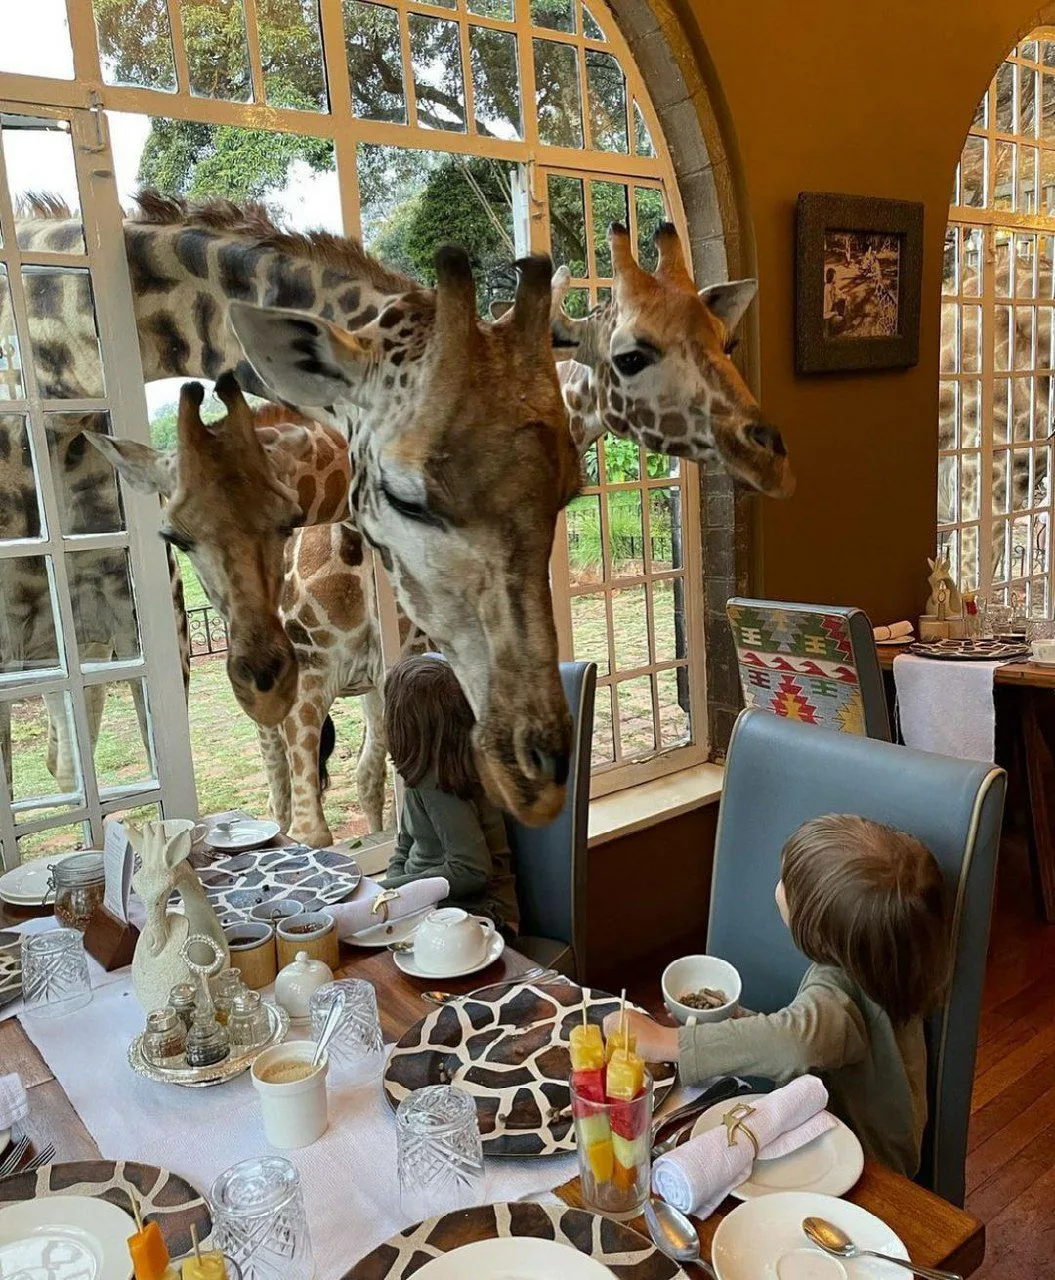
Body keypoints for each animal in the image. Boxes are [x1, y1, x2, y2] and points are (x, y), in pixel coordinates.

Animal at [90, 375, 401, 846]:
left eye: (291, 519)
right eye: (174, 537)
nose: (263, 684)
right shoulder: (310, 681)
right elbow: (308, 831)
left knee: (365, 774)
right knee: (283, 793)